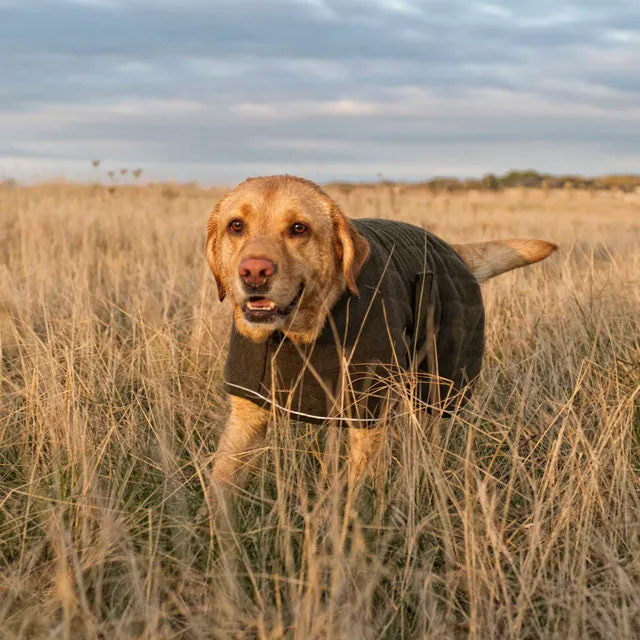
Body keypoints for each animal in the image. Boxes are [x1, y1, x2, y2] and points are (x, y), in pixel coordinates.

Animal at [204, 176, 556, 504]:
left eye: (299, 228)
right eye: (236, 226)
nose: (254, 272)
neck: (302, 335)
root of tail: (451, 248)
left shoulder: (368, 414)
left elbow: (356, 496)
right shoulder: (246, 416)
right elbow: (221, 484)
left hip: (435, 389)